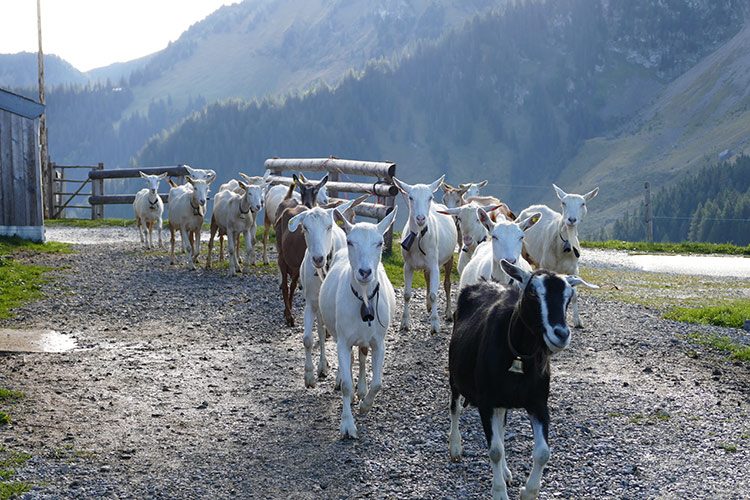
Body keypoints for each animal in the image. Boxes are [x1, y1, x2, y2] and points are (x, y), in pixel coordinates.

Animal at [288, 194, 368, 386]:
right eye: (305, 228)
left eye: (329, 226)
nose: (318, 258)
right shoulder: (311, 303)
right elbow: (308, 339)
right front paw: (309, 376)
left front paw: (340, 378)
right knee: (321, 331)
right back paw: (322, 366)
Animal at [320, 206, 400, 438]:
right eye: (350, 242)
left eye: (380, 242)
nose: (365, 272)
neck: (364, 297)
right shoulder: (343, 340)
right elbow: (347, 384)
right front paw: (347, 425)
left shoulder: (379, 341)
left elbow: (378, 383)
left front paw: (366, 405)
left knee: (363, 357)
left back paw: (362, 389)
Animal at [394, 174, 458, 334]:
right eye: (410, 197)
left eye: (430, 197)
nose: (421, 218)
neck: (418, 238)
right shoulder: (407, 265)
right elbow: (407, 295)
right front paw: (404, 323)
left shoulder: (434, 264)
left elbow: (435, 295)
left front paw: (435, 326)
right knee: (427, 277)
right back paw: (428, 306)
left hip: (449, 257)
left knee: (447, 284)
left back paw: (448, 313)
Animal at [450, 262, 596, 500]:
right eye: (533, 292)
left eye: (568, 296)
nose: (561, 334)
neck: (518, 355)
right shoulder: (485, 401)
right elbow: (495, 450)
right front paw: (499, 492)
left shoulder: (538, 403)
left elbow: (543, 452)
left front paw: (528, 491)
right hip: (455, 377)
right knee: (455, 408)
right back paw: (455, 447)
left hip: (502, 400)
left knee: (500, 426)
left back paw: (506, 472)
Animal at [520, 184, 604, 328]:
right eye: (563, 203)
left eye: (583, 203)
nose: (571, 220)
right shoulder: (547, 265)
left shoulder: (574, 269)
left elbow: (574, 295)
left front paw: (578, 321)